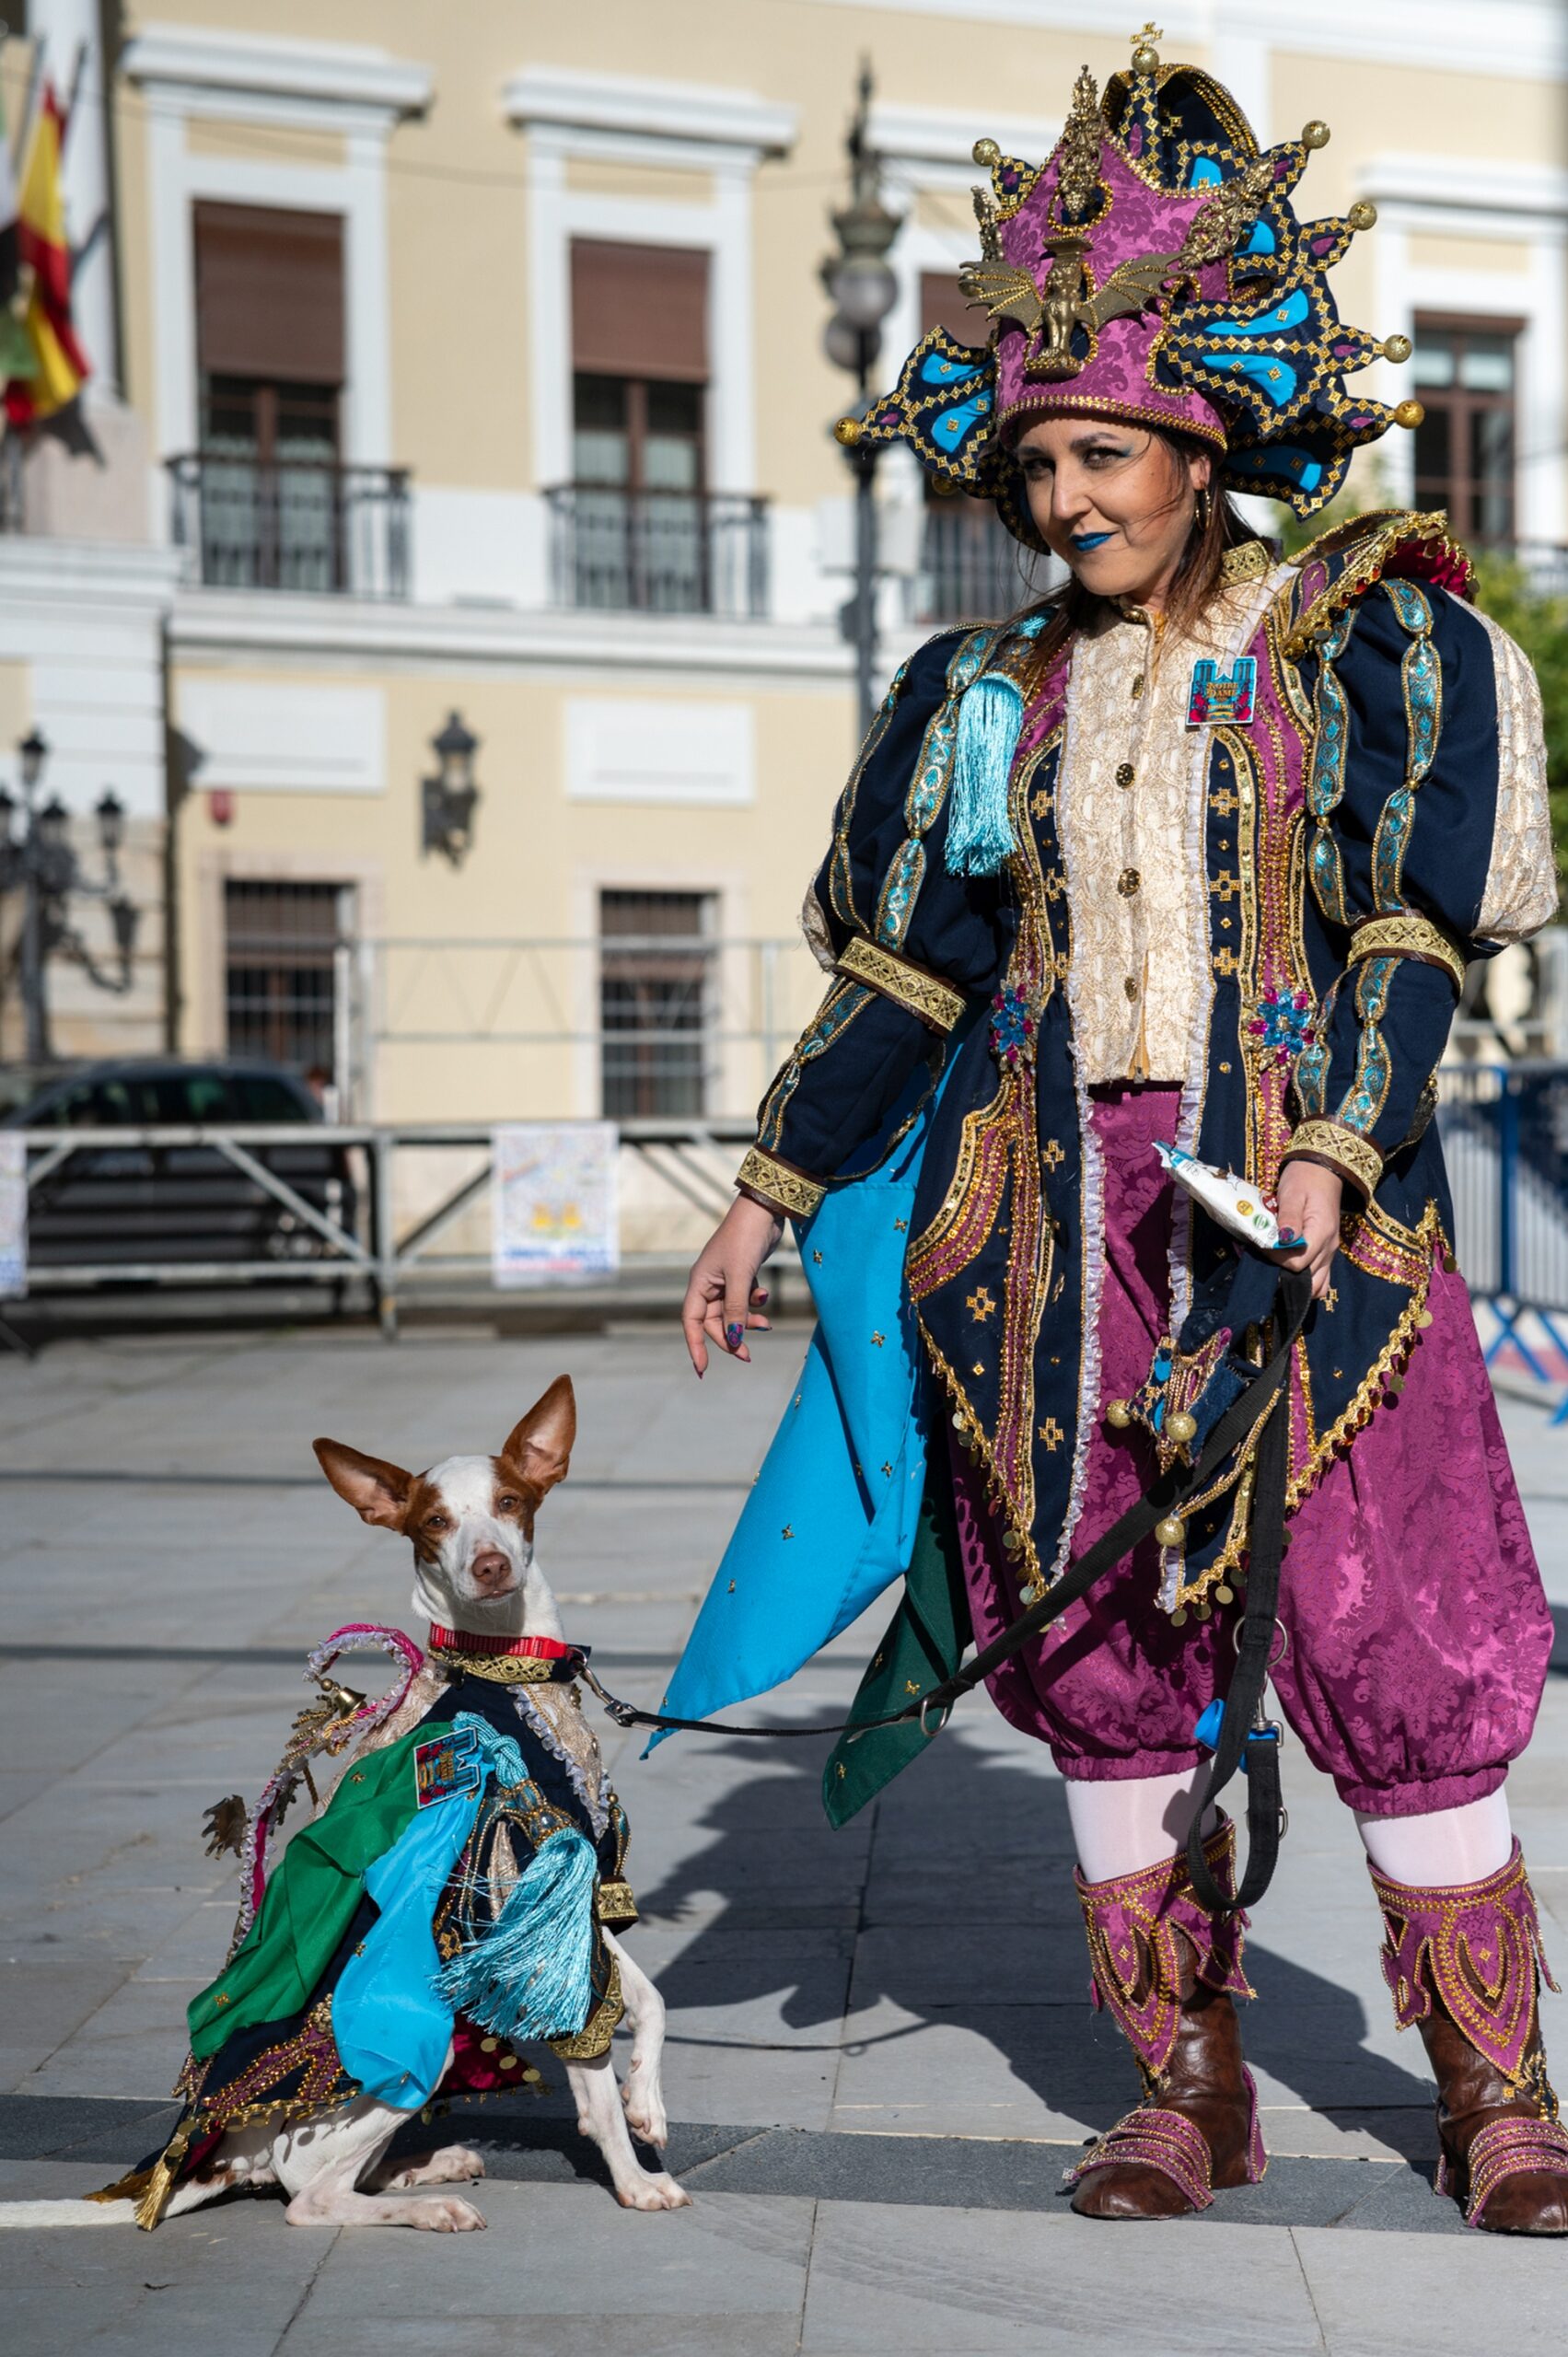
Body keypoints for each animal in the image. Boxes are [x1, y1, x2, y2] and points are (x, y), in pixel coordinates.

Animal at [1, 1374, 688, 2233]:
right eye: (434, 1522)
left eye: (510, 1500)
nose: (490, 1564)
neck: (506, 1671)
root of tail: (223, 2152)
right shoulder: (524, 1874)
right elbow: (590, 2057)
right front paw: (634, 2179)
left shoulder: (574, 1890)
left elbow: (649, 1998)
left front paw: (646, 2103)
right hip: (405, 2050)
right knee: (308, 2196)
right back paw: (425, 2206)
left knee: (337, 2180)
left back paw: (427, 2167)